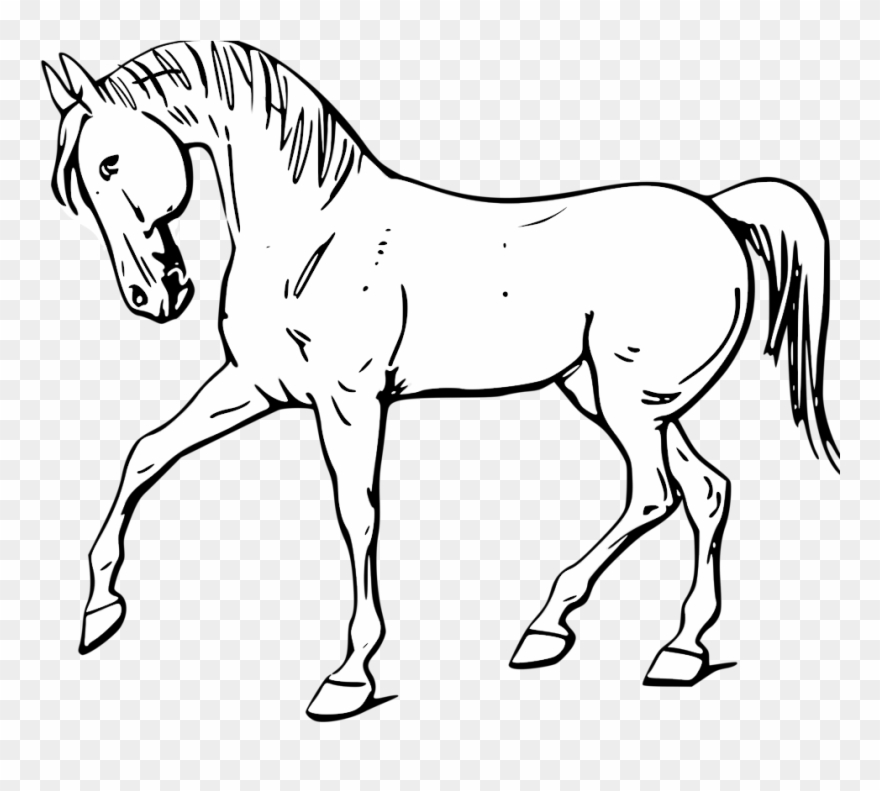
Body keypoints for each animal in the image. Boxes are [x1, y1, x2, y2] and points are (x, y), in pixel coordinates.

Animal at [43, 41, 839, 721]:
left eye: (110, 163)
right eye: (79, 183)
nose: (153, 295)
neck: (311, 236)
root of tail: (722, 214)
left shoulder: (350, 401)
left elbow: (358, 515)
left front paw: (348, 677)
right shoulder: (257, 386)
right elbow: (146, 452)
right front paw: (98, 612)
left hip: (628, 399)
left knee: (656, 493)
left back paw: (551, 627)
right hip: (619, 397)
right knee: (706, 492)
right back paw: (676, 649)